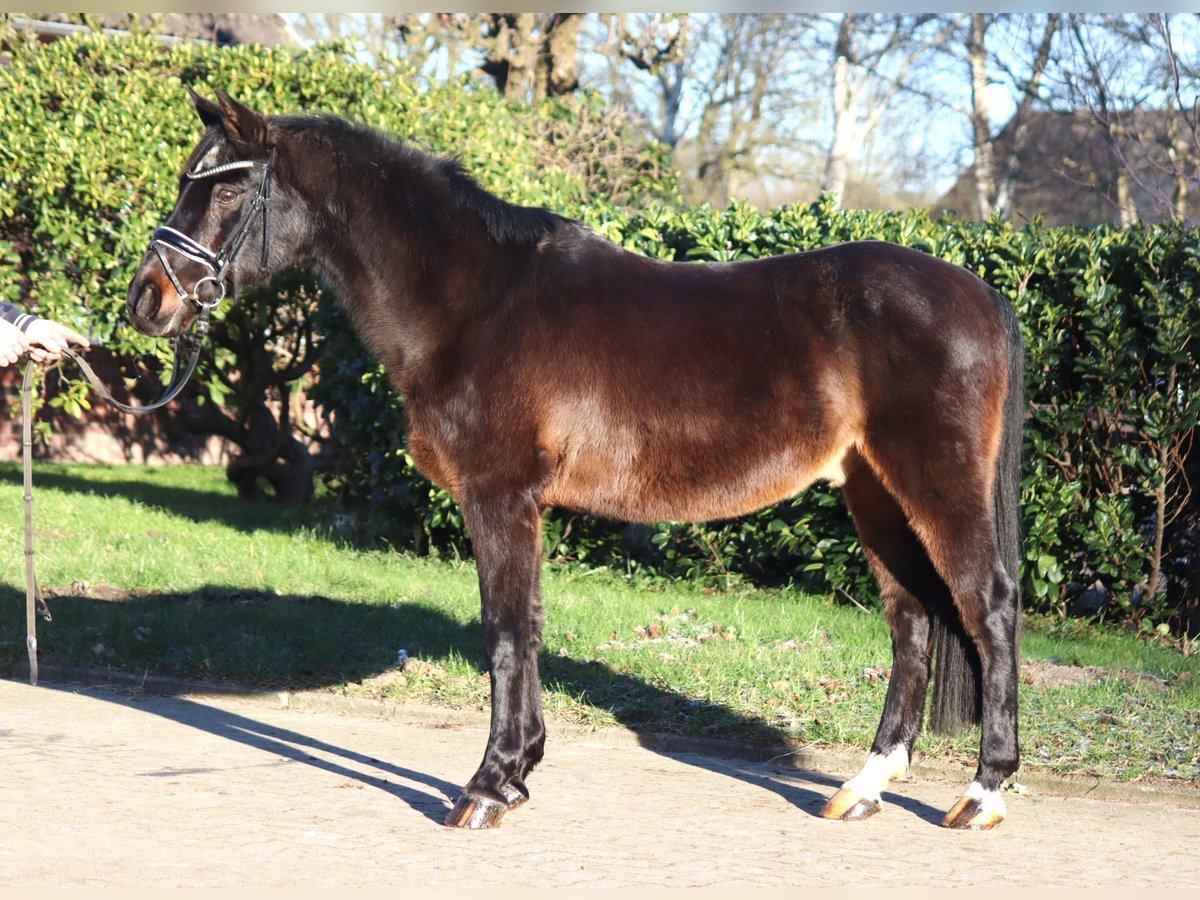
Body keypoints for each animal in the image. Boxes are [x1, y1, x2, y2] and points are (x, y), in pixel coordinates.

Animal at [124, 91, 1022, 830]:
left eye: (227, 190)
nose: (146, 302)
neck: (474, 303)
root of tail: (978, 291)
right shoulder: (520, 506)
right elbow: (524, 629)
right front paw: (517, 772)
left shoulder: (499, 497)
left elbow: (505, 631)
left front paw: (488, 788)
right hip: (873, 491)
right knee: (912, 617)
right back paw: (863, 788)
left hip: (934, 485)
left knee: (987, 605)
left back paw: (981, 793)